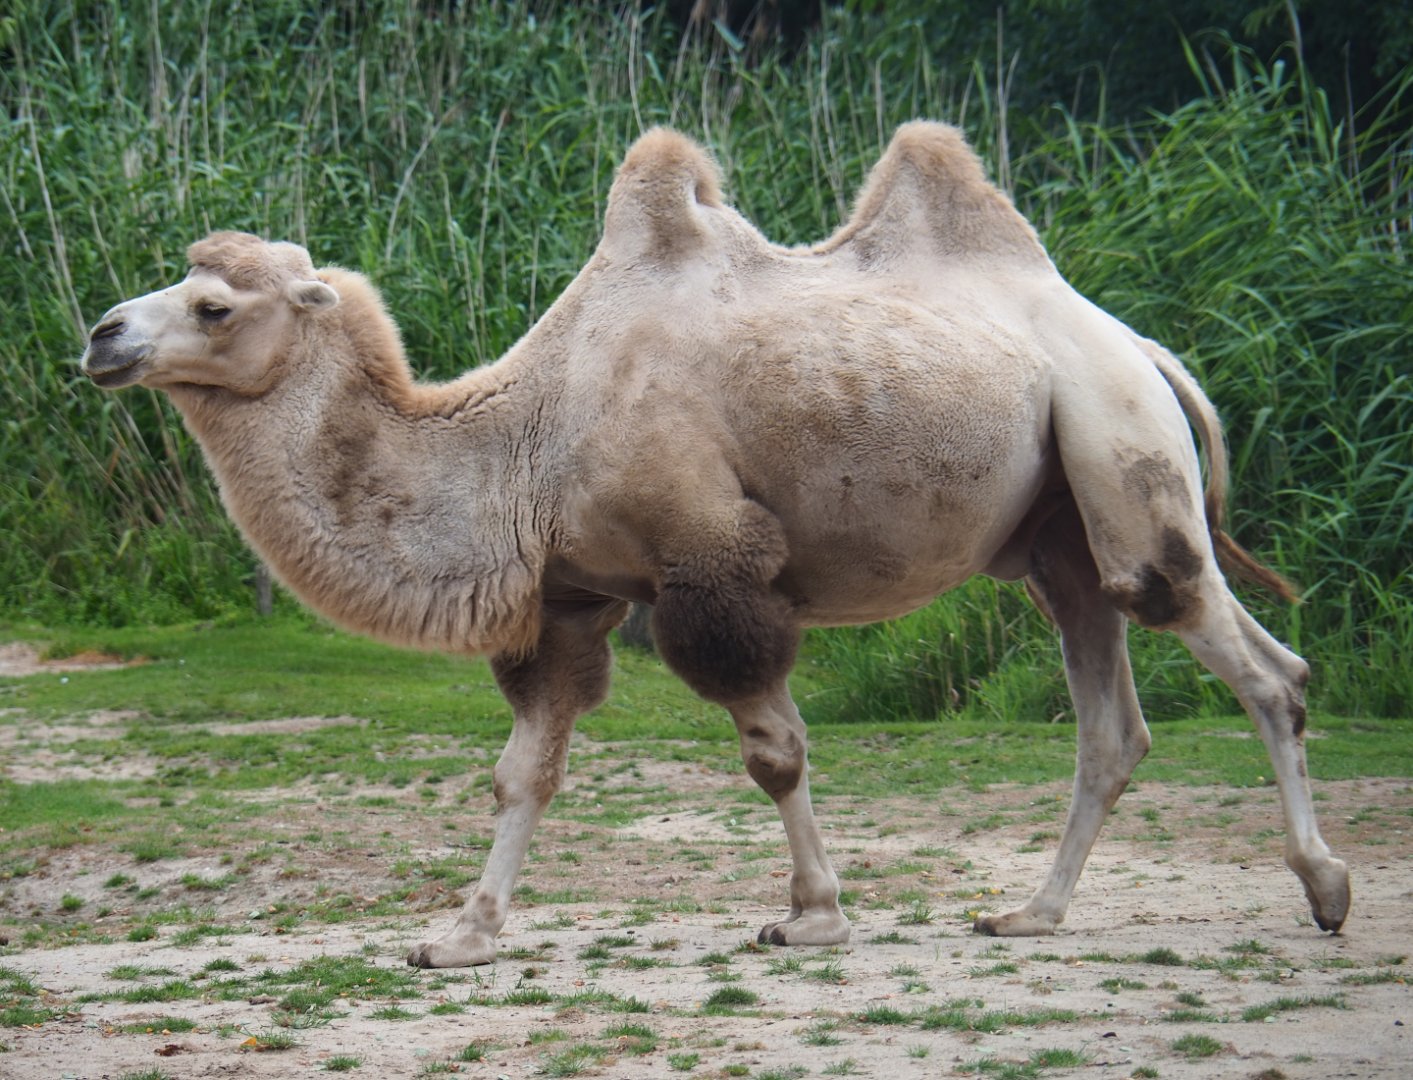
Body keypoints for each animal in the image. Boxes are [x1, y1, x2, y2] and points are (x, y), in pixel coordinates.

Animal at [80, 123, 1350, 968]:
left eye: (215, 307)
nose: (100, 333)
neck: (527, 435)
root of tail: (1141, 343)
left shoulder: (711, 564)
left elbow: (774, 750)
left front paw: (814, 915)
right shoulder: (572, 598)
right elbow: (523, 770)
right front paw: (462, 935)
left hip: (1120, 450)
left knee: (1249, 658)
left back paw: (1326, 888)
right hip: (1056, 536)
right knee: (1112, 716)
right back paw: (1032, 913)